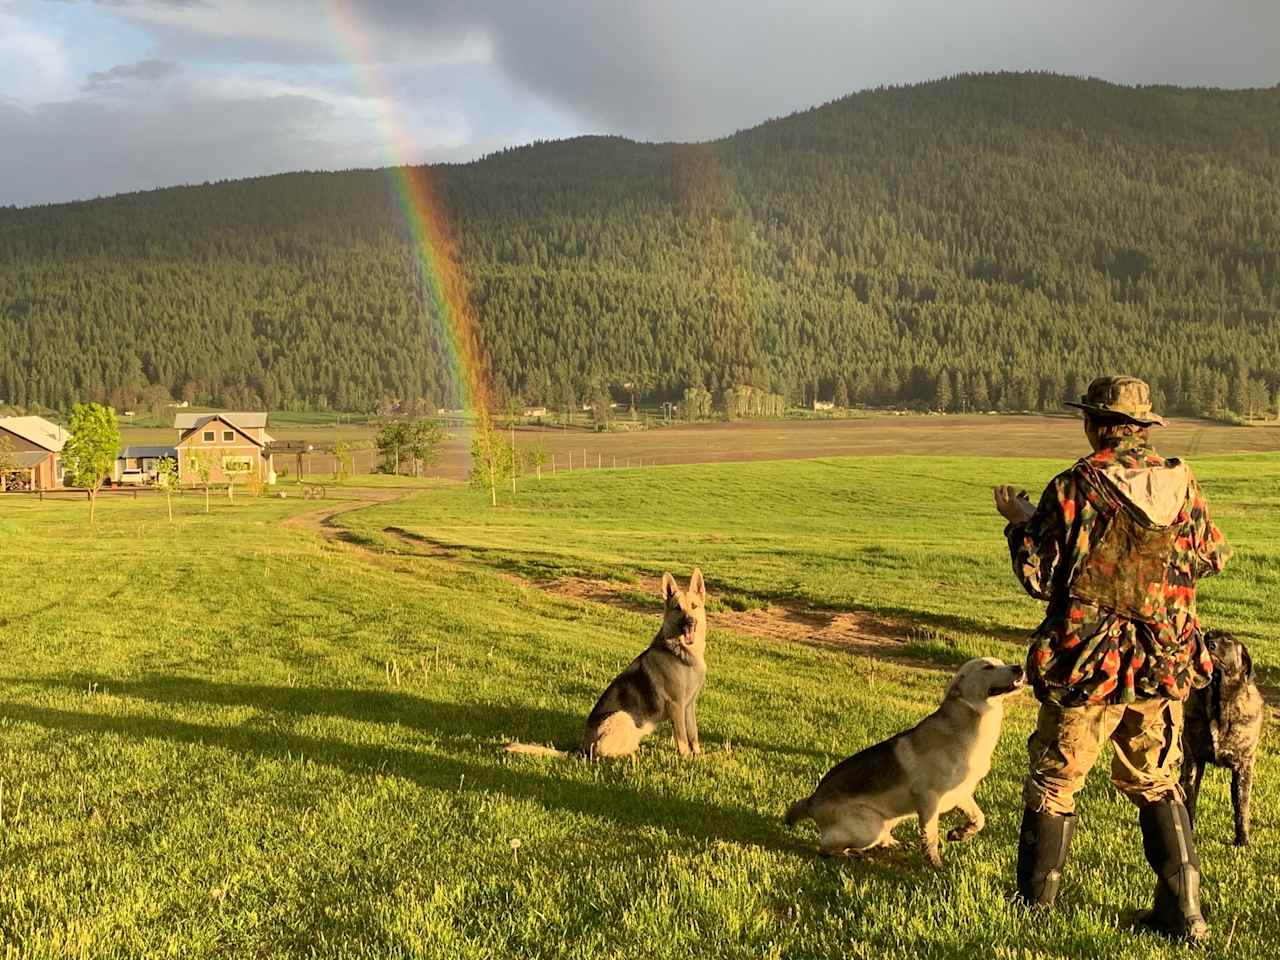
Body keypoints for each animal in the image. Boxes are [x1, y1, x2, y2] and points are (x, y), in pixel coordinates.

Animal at [504, 570, 711, 757]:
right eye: (677, 608)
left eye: (694, 606)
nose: (689, 622)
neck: (681, 652)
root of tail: (581, 748)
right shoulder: (676, 705)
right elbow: (682, 738)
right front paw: (686, 759)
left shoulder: (688, 705)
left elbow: (693, 734)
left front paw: (699, 756)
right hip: (622, 716)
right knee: (603, 753)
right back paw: (632, 755)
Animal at [783, 660, 1024, 870]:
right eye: (988, 666)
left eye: (1001, 662)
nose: (1019, 667)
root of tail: (811, 801)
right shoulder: (928, 799)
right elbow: (931, 837)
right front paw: (935, 865)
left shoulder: (961, 793)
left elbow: (979, 819)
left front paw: (960, 833)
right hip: (869, 827)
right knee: (825, 848)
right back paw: (855, 855)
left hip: (888, 820)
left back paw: (891, 843)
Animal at [1182, 634, 1264, 844]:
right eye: (1207, 636)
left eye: (1228, 641)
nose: (1210, 645)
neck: (1218, 703)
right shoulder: (1194, 761)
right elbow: (1190, 798)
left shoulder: (1243, 766)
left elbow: (1242, 807)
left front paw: (1243, 841)